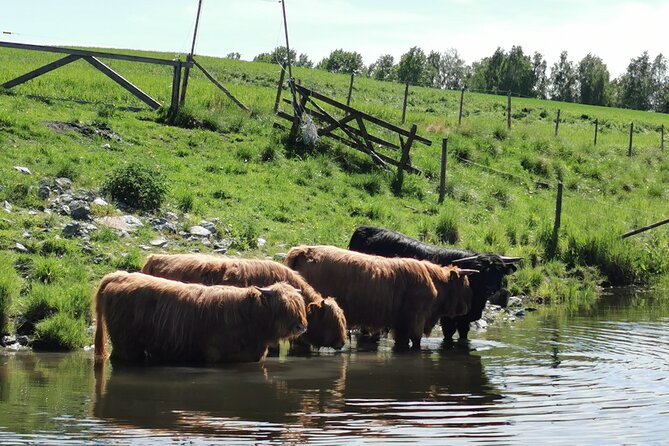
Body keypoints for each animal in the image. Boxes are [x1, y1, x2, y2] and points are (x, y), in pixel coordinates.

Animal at [94, 272, 308, 362]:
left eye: (300, 304)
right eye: (284, 306)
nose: (301, 326)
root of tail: (117, 275)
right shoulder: (215, 355)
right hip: (126, 345)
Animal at [284, 246, 472, 350]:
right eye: (465, 285)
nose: (466, 308)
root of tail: (303, 250)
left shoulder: (401, 326)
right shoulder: (416, 320)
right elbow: (416, 343)